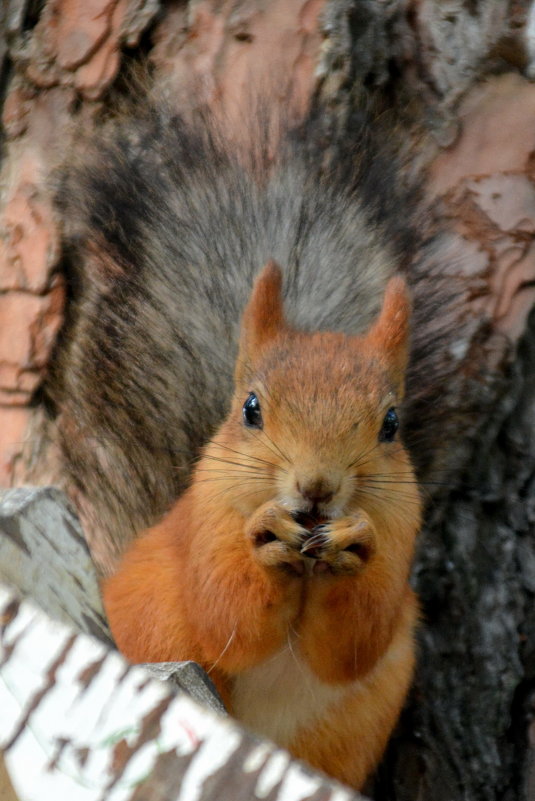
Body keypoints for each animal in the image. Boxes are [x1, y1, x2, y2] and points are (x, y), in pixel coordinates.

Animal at [102, 258, 420, 788]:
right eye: (251, 409)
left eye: (391, 424)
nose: (317, 486)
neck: (305, 572)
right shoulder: (205, 523)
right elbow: (225, 614)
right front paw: (268, 542)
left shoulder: (400, 533)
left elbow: (353, 645)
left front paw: (351, 544)